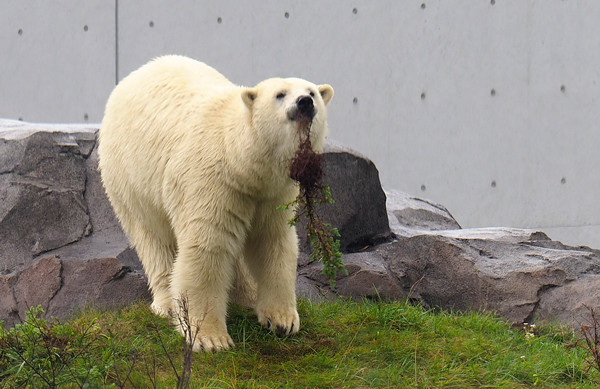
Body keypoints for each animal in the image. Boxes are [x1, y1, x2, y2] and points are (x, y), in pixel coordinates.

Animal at [98, 55, 332, 352]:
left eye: (312, 92)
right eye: (280, 94)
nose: (304, 102)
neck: (240, 160)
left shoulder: (273, 193)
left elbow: (273, 241)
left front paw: (282, 320)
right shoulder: (213, 180)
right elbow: (208, 247)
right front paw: (210, 338)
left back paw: (247, 295)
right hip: (130, 179)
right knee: (154, 239)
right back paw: (167, 304)